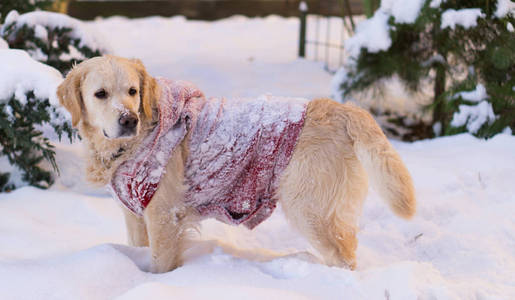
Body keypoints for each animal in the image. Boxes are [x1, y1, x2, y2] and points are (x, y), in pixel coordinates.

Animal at [56, 55, 418, 274]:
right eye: (100, 94)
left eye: (133, 91)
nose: (129, 119)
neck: (137, 140)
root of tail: (343, 108)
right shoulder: (135, 216)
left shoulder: (164, 216)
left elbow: (160, 263)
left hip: (310, 210)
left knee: (344, 258)